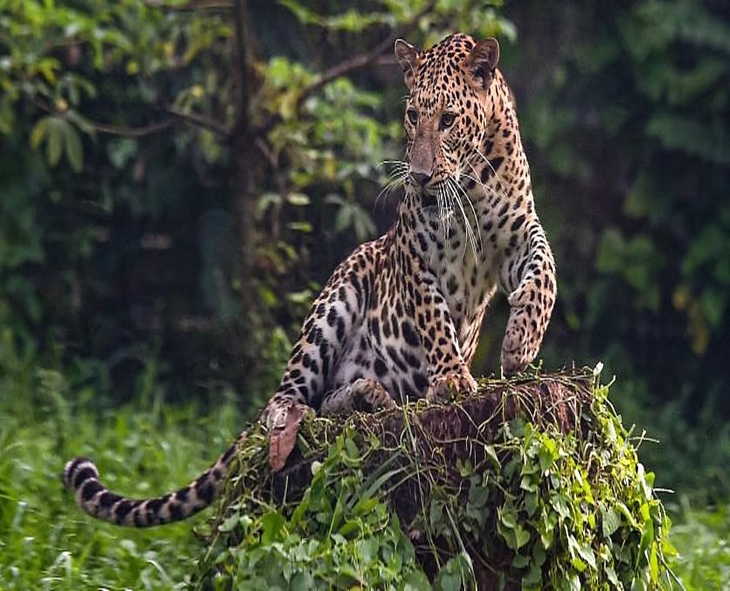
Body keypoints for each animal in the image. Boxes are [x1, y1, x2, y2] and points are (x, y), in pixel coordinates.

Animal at [63, 33, 556, 527]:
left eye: (449, 120)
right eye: (414, 116)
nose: (418, 177)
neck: (470, 180)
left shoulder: (519, 233)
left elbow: (544, 272)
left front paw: (520, 344)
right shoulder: (417, 254)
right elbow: (434, 317)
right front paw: (453, 378)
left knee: (329, 403)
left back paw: (370, 396)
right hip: (341, 291)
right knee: (285, 402)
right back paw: (315, 413)